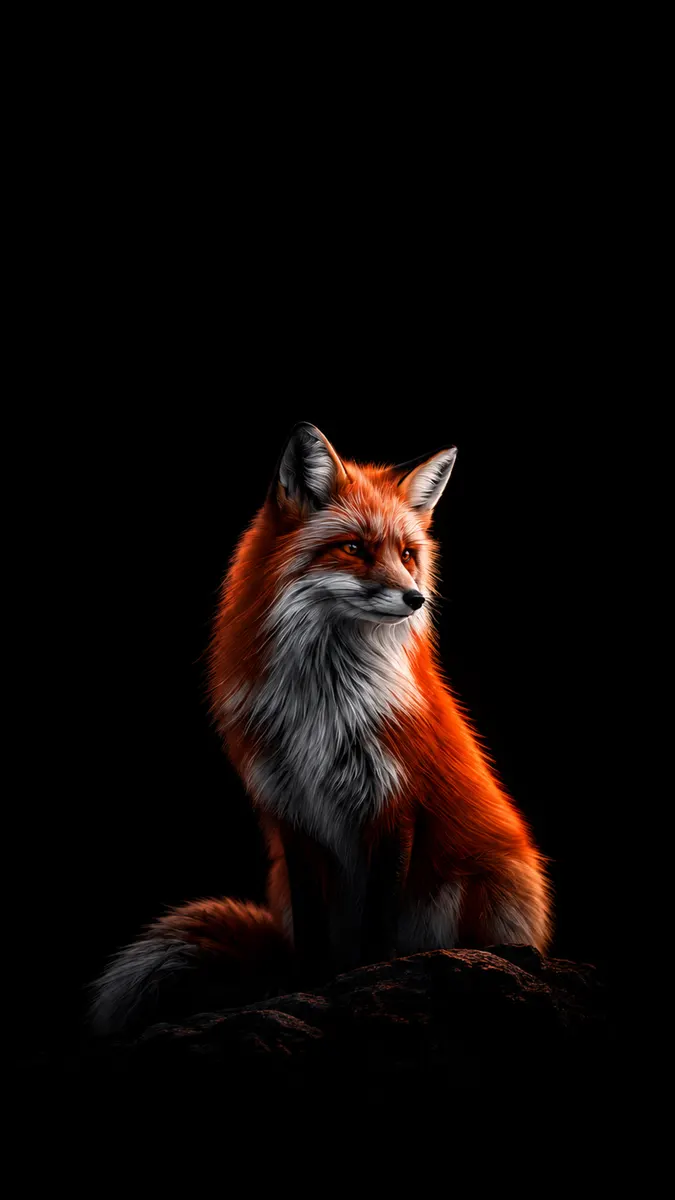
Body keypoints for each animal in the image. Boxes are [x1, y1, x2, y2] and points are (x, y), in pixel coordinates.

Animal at [90, 422, 552, 1035]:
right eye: (354, 547)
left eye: (408, 555)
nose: (415, 598)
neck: (326, 704)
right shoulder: (291, 809)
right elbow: (313, 927)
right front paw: (304, 987)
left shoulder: (394, 801)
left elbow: (379, 919)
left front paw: (374, 977)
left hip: (478, 884)